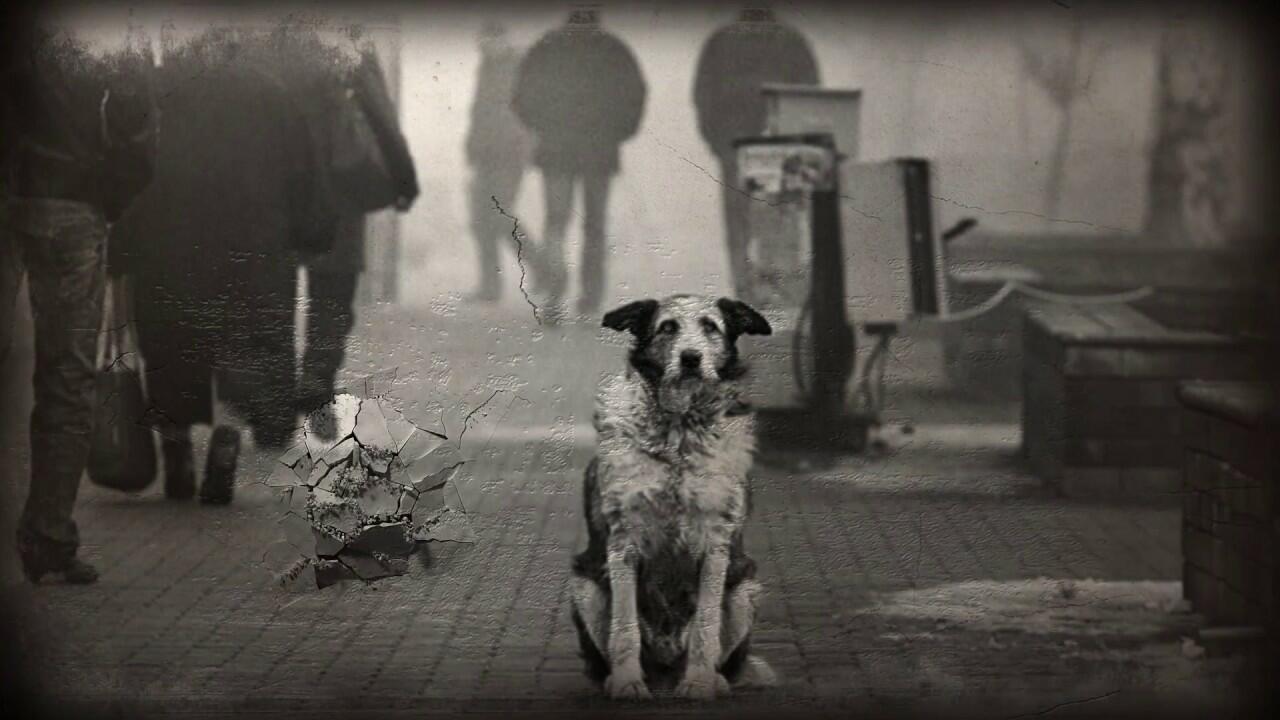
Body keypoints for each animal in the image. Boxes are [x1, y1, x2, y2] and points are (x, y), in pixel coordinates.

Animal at [573, 294, 773, 696]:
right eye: (667, 327)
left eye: (711, 326)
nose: (690, 358)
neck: (678, 437)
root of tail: (665, 673)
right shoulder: (623, 544)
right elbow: (624, 628)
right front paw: (628, 683)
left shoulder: (715, 546)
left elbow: (706, 626)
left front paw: (698, 683)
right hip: (584, 587)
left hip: (746, 587)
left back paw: (712, 679)